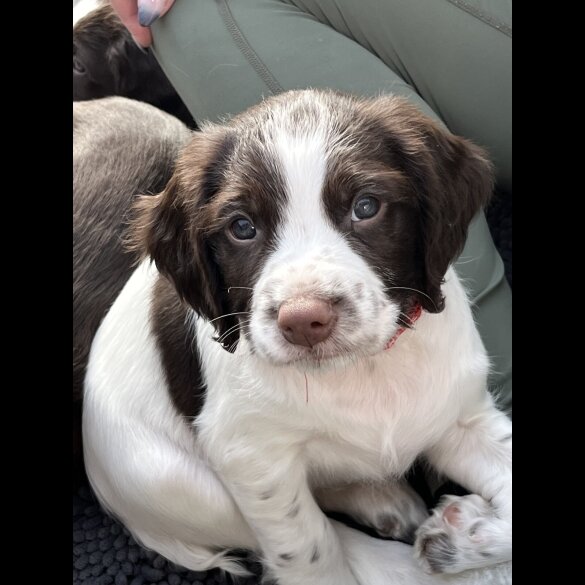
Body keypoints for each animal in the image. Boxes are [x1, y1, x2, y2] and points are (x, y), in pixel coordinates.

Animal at [82, 89, 512, 580]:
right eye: (242, 227)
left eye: (366, 206)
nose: (303, 319)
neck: (362, 370)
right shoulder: (250, 457)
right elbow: (312, 549)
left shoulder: (462, 417)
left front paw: (465, 536)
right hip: (182, 485)